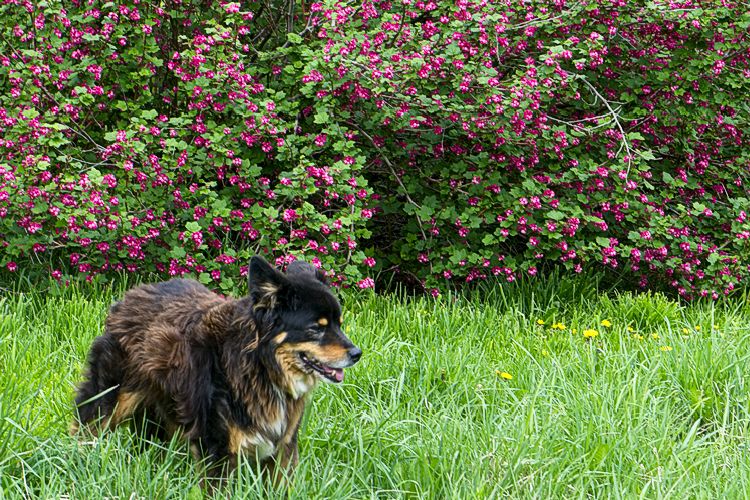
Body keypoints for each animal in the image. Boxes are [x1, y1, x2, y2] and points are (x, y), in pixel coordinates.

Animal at [72, 256, 362, 482]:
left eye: (338, 324)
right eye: (316, 328)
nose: (357, 354)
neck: (259, 366)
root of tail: (127, 298)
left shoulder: (283, 447)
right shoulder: (217, 448)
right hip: (109, 398)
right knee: (84, 426)